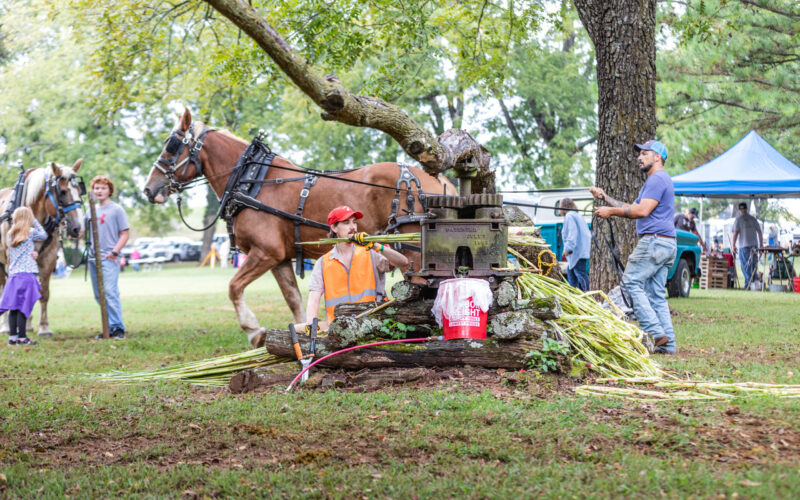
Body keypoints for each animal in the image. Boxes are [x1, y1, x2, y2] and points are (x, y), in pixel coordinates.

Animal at [0, 161, 85, 336]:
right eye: (63, 192)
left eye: (80, 191)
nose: (78, 229)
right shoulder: (12, 261)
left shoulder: (48, 259)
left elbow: (43, 293)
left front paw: (44, 327)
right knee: (3, 288)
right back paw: (5, 326)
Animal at [145, 107, 456, 346]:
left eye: (171, 146)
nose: (149, 189)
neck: (252, 180)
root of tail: (437, 179)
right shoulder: (279, 259)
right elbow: (294, 299)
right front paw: (302, 335)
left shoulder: (264, 253)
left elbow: (233, 287)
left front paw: (254, 332)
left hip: (413, 252)